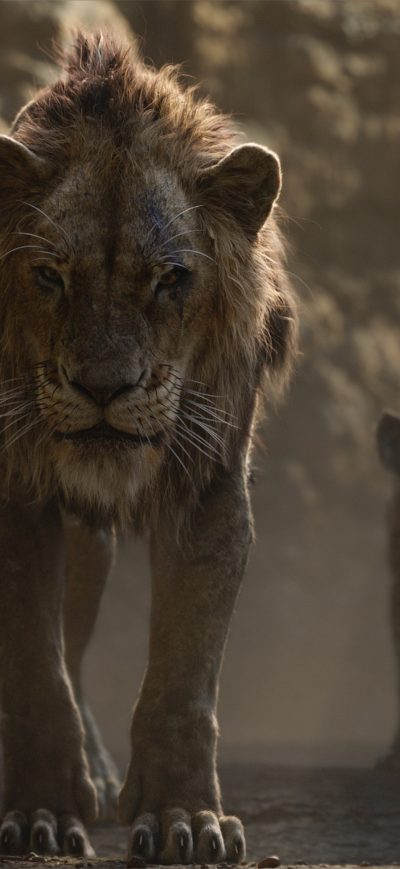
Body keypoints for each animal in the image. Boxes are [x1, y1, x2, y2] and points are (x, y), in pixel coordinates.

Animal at [0, 33, 297, 860]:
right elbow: (33, 669)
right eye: (49, 274)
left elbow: (183, 674)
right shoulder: (15, 487)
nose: (106, 387)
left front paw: (181, 816)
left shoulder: (210, 483)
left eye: (171, 278)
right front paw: (38, 811)